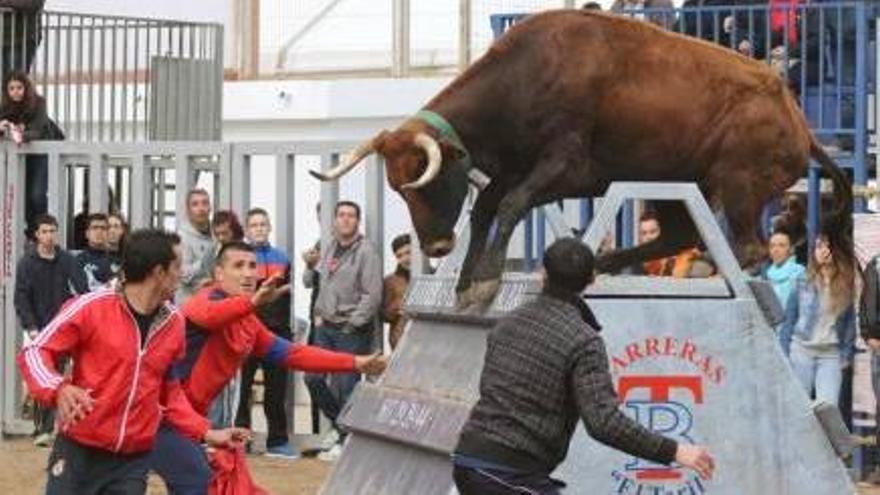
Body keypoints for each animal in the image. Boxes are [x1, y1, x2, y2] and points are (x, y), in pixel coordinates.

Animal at [312, 9, 852, 308]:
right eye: (398, 188)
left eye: (428, 181)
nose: (438, 246)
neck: (527, 74)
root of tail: (797, 120)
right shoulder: (515, 168)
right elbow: (486, 208)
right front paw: (467, 282)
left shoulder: (568, 167)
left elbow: (510, 205)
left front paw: (486, 281)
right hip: (673, 184)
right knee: (680, 233)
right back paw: (608, 261)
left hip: (737, 183)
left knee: (748, 249)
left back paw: (715, 274)